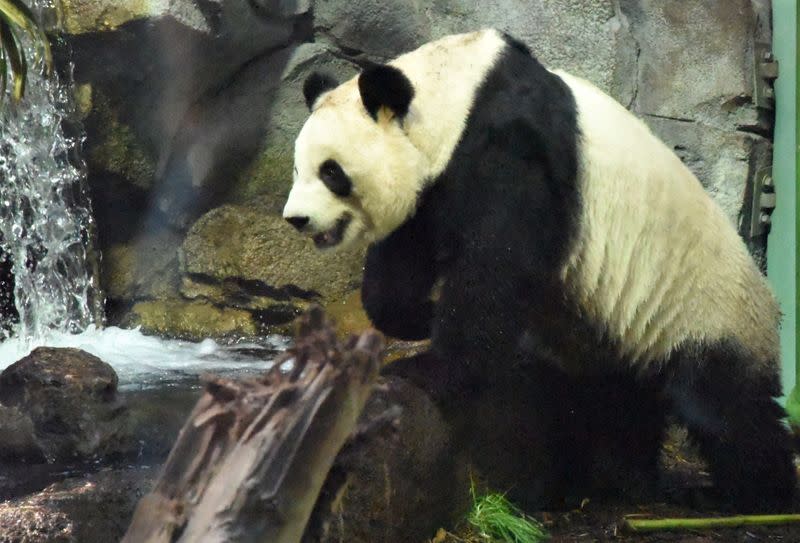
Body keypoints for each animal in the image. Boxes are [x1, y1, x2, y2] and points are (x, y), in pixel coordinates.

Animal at [284, 28, 796, 516]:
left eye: (331, 171)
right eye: (297, 168)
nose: (297, 219)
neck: (455, 94)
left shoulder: (514, 149)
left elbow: (496, 266)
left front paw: (425, 366)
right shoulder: (434, 189)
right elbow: (403, 259)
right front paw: (419, 317)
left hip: (704, 309)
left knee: (724, 406)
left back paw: (745, 495)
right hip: (614, 333)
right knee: (607, 401)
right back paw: (607, 479)